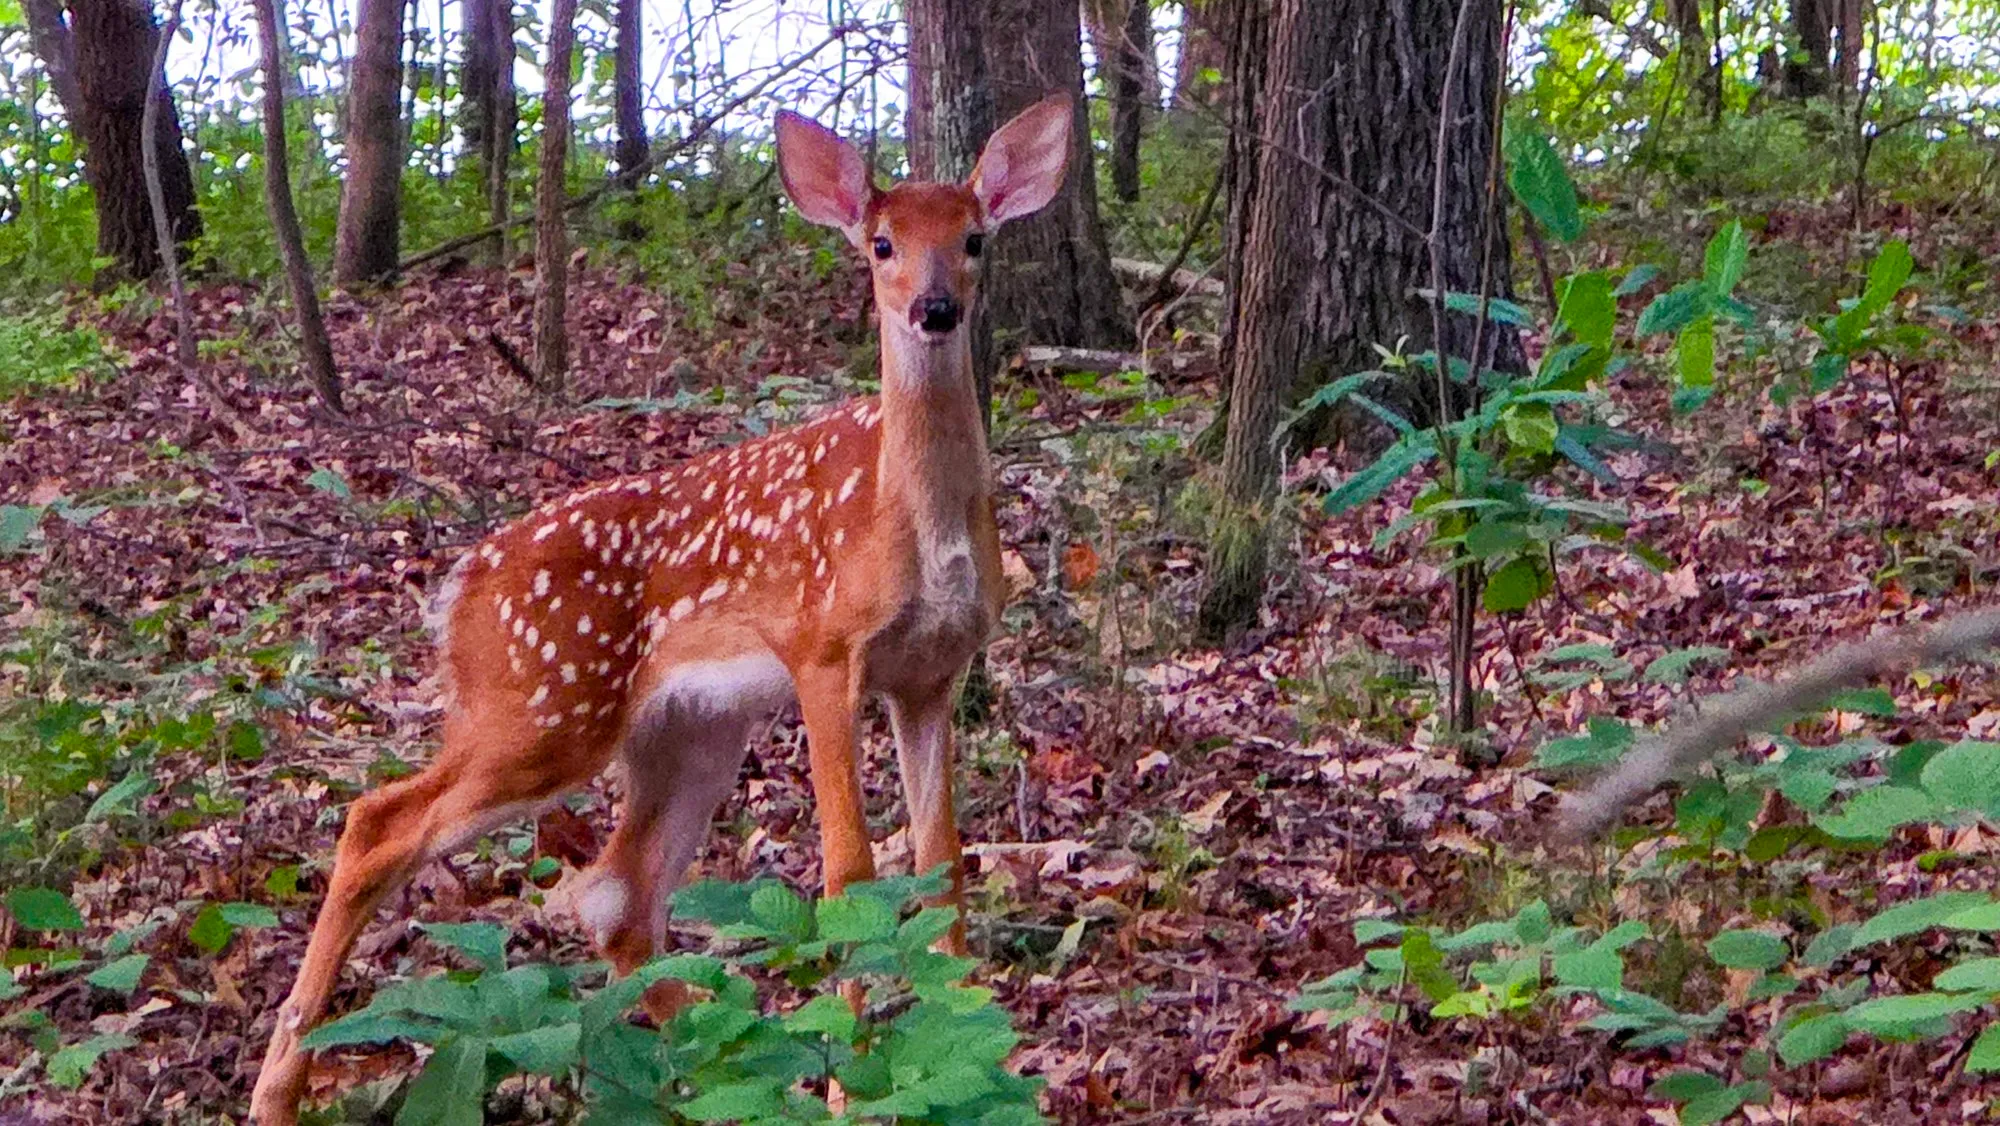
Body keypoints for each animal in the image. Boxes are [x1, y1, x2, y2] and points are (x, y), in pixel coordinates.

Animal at [247, 94, 1075, 1122]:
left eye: (974, 238)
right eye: (880, 243)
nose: (934, 309)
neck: (919, 523)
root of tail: (459, 588)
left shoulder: (931, 672)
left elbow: (943, 861)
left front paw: (972, 1041)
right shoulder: (822, 645)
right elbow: (849, 871)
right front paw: (850, 1087)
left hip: (686, 728)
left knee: (615, 890)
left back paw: (726, 1056)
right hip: (544, 704)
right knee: (379, 823)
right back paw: (277, 1087)